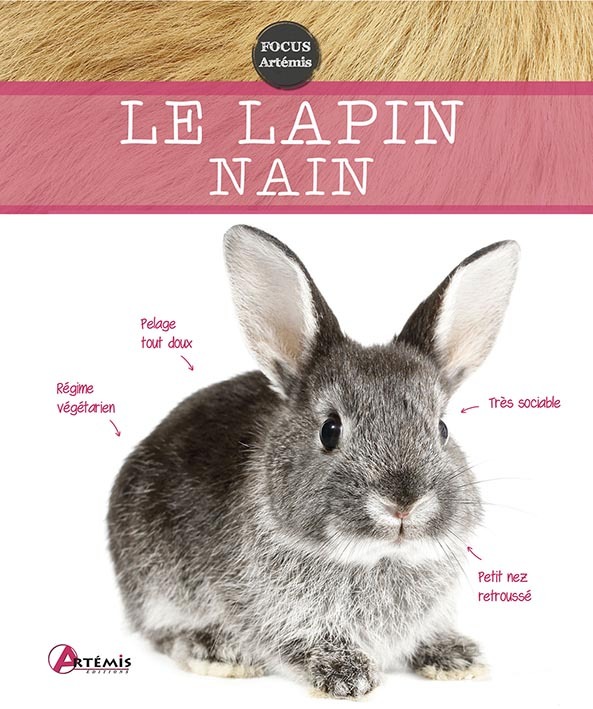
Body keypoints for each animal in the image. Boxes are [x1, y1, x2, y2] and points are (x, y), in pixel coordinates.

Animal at [108, 225, 519, 697]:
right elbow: (299, 641)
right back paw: (215, 650)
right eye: (330, 430)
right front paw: (347, 675)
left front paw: (456, 657)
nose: (403, 503)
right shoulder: (271, 613)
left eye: (442, 428)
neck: (378, 558)